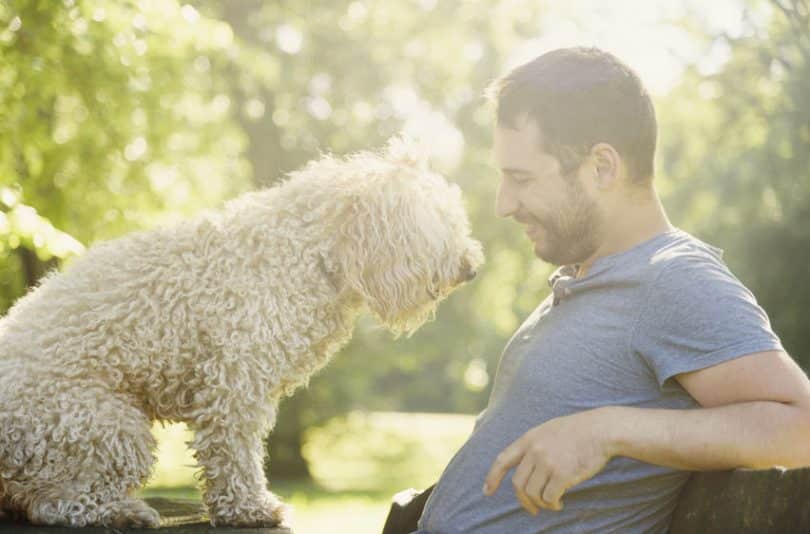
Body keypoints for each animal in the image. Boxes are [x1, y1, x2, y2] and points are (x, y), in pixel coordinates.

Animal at [0, 139, 480, 532]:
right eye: (438, 222)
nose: (472, 266)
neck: (307, 253)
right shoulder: (235, 385)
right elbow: (235, 456)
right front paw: (250, 508)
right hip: (109, 427)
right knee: (56, 505)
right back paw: (123, 511)